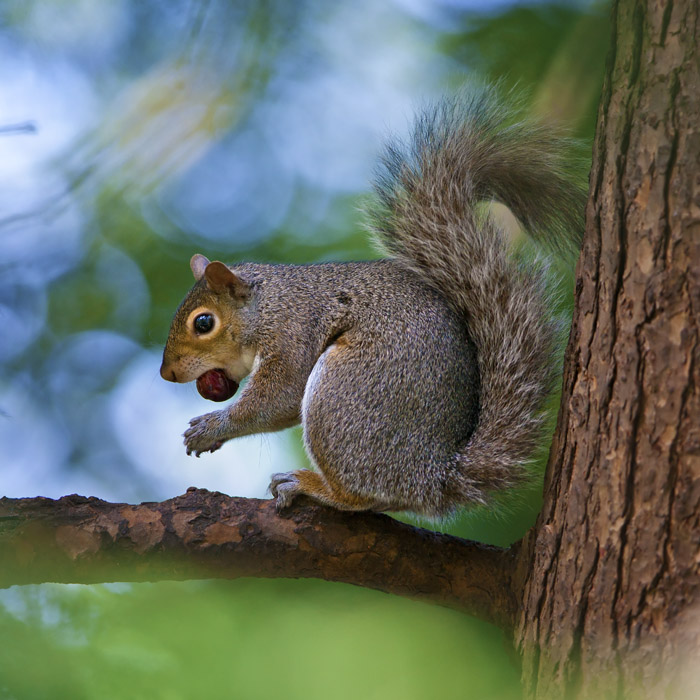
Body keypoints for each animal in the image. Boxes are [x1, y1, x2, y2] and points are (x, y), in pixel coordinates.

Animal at [160, 85, 584, 516]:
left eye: (203, 323)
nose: (168, 373)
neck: (269, 305)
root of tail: (431, 476)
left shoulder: (292, 332)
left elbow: (279, 397)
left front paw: (211, 427)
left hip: (345, 393)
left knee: (362, 492)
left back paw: (310, 484)